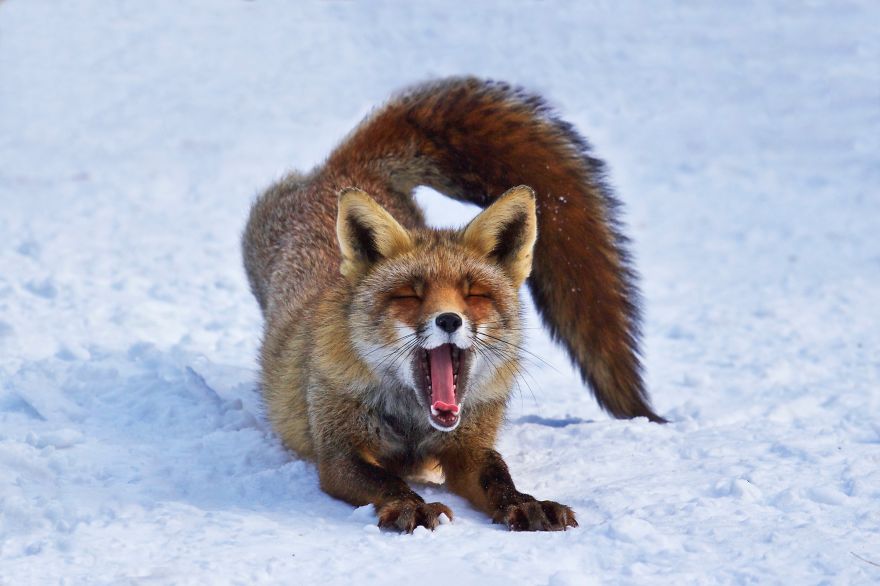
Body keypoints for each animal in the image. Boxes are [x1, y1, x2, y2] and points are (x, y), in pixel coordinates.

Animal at [242, 77, 664, 533]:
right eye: (410, 294)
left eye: (474, 293)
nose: (449, 320)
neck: (413, 423)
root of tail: (347, 169)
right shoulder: (339, 451)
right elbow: (387, 481)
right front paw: (412, 506)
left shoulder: (468, 444)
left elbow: (498, 476)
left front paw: (526, 505)